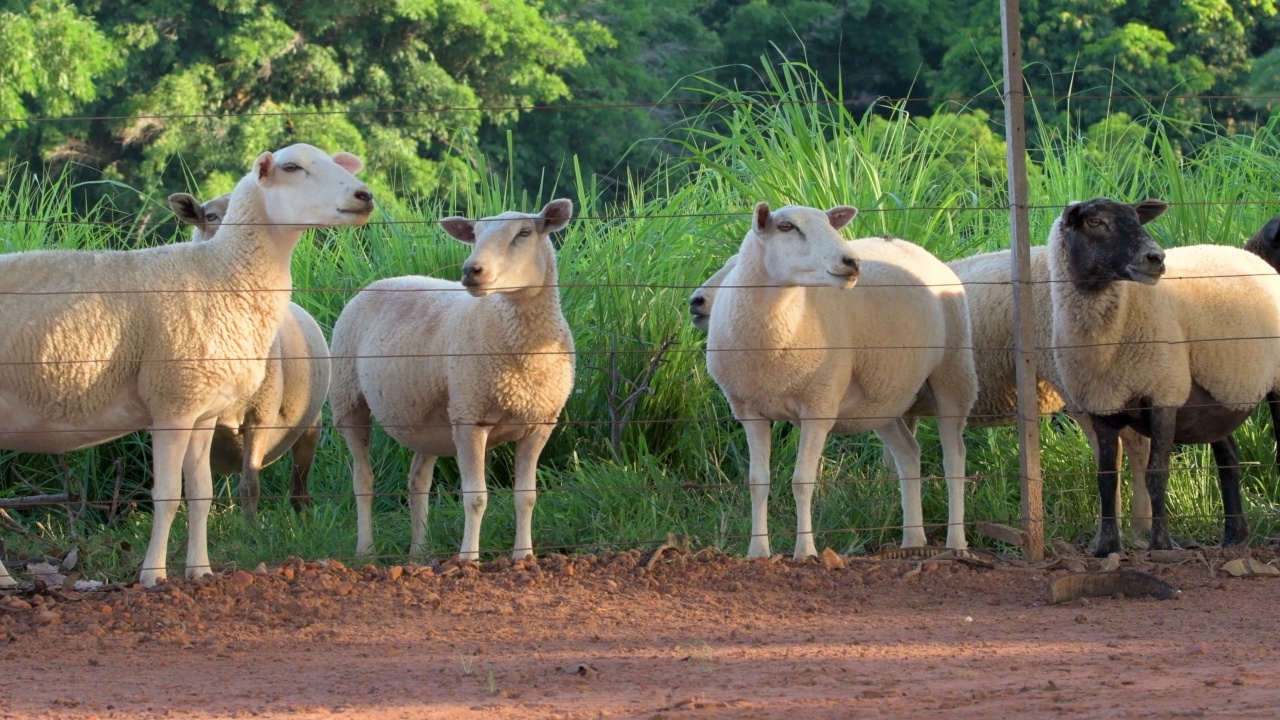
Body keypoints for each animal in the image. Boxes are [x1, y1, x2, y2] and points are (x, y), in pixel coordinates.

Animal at [167, 190, 332, 515]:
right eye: (211, 216)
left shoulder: (261, 413)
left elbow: (250, 488)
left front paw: (252, 526)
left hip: (311, 424)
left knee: (299, 484)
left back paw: (302, 516)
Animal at [330, 197, 576, 561]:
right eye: (474, 234)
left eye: (525, 233)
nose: (471, 270)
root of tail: (380, 281)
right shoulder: (469, 417)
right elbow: (475, 498)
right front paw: (468, 558)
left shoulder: (540, 422)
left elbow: (526, 497)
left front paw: (524, 556)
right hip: (348, 400)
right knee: (363, 480)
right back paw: (367, 551)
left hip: (427, 417)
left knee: (417, 481)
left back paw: (419, 552)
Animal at [706, 202, 972, 556]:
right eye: (787, 227)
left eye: (830, 224)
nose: (851, 262)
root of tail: (918, 249)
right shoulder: (749, 410)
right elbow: (757, 482)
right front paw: (757, 552)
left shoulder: (819, 405)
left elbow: (802, 481)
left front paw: (805, 551)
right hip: (883, 398)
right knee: (909, 452)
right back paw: (913, 539)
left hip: (953, 374)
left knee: (954, 458)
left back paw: (956, 543)